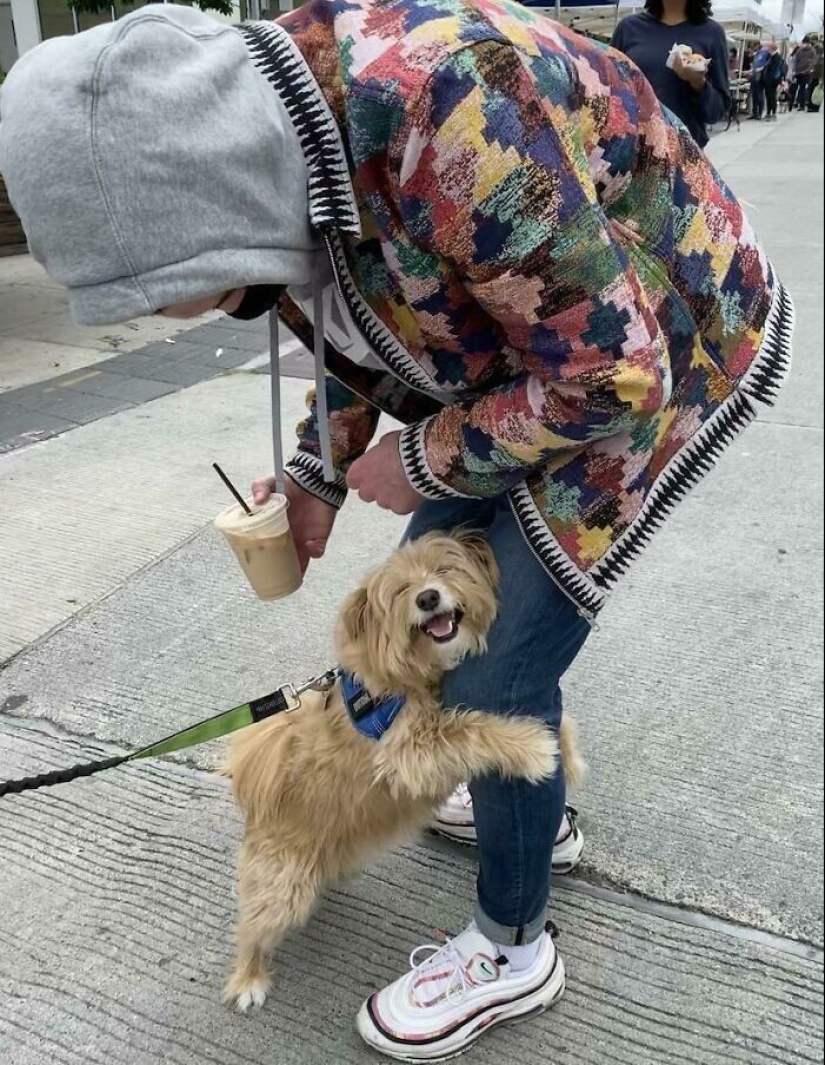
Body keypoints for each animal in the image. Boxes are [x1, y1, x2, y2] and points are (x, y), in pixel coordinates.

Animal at [221, 536, 579, 1009]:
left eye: (445, 569)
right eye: (399, 591)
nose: (427, 598)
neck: (411, 676)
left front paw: (566, 749)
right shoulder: (409, 754)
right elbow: (471, 729)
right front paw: (532, 748)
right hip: (282, 886)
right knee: (252, 928)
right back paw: (248, 978)